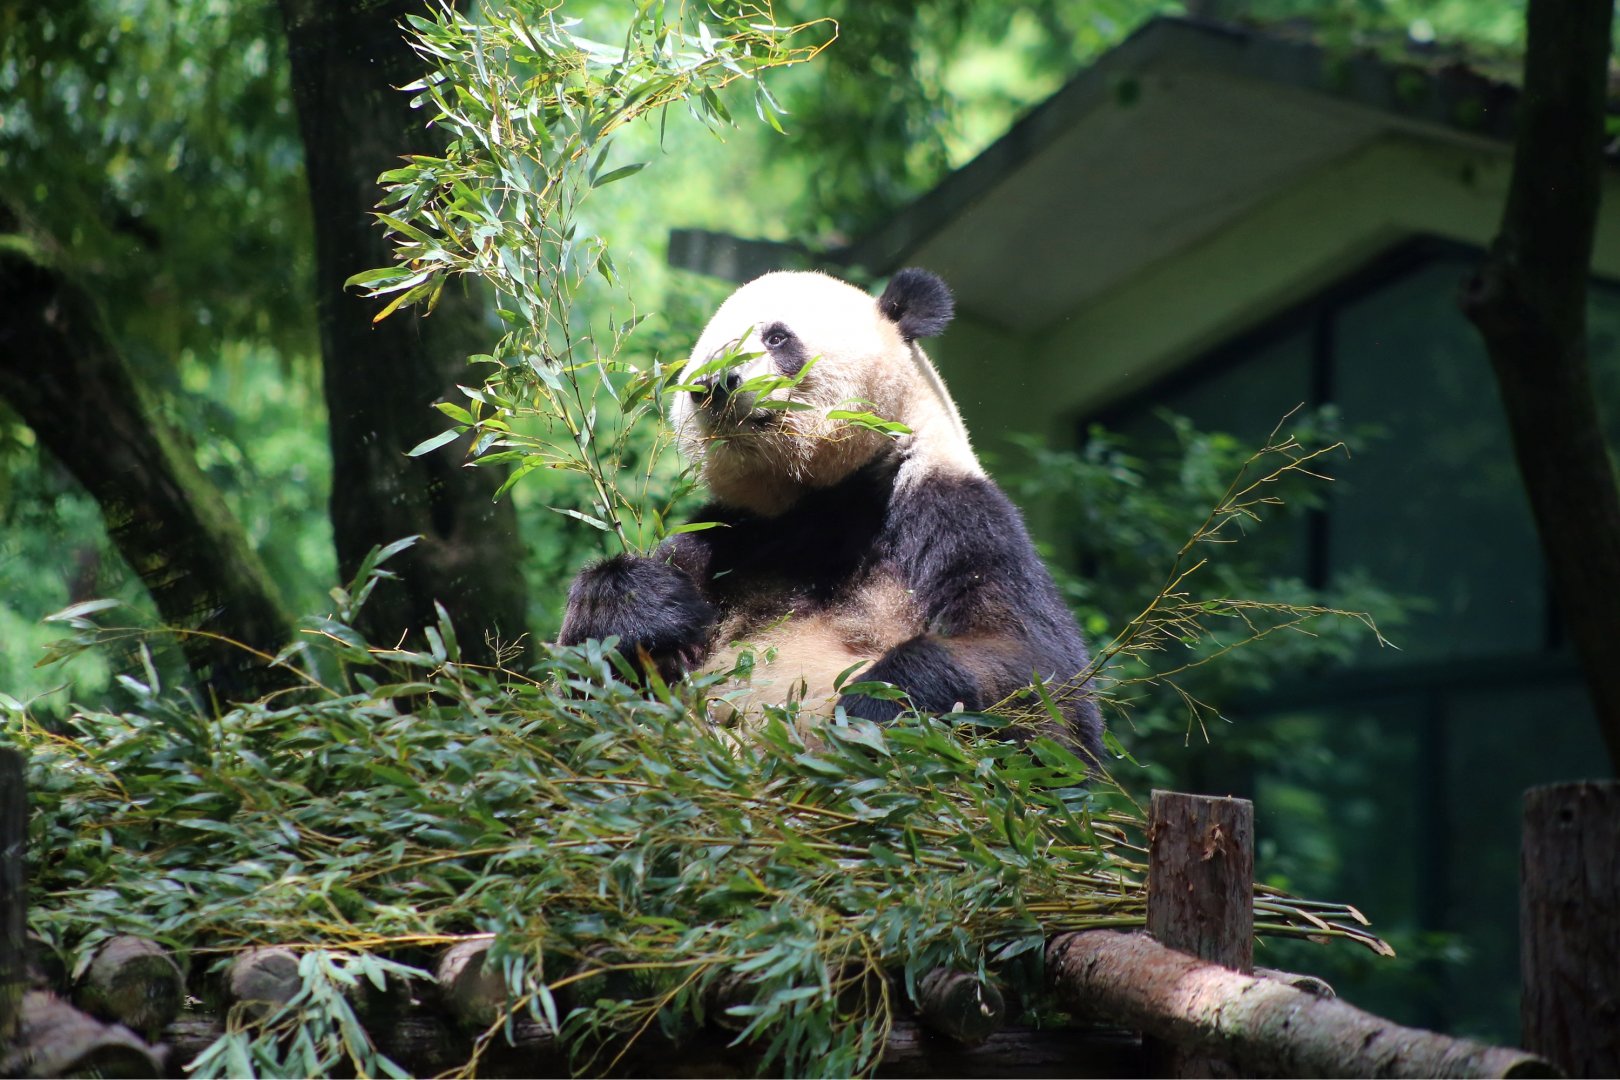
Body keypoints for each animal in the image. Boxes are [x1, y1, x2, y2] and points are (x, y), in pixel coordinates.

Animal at [559, 268, 1104, 764]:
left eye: (776, 336)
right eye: (703, 359)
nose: (714, 385)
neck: (821, 495)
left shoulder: (950, 510)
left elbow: (1043, 689)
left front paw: (872, 707)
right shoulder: (729, 537)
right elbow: (580, 696)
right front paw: (646, 605)